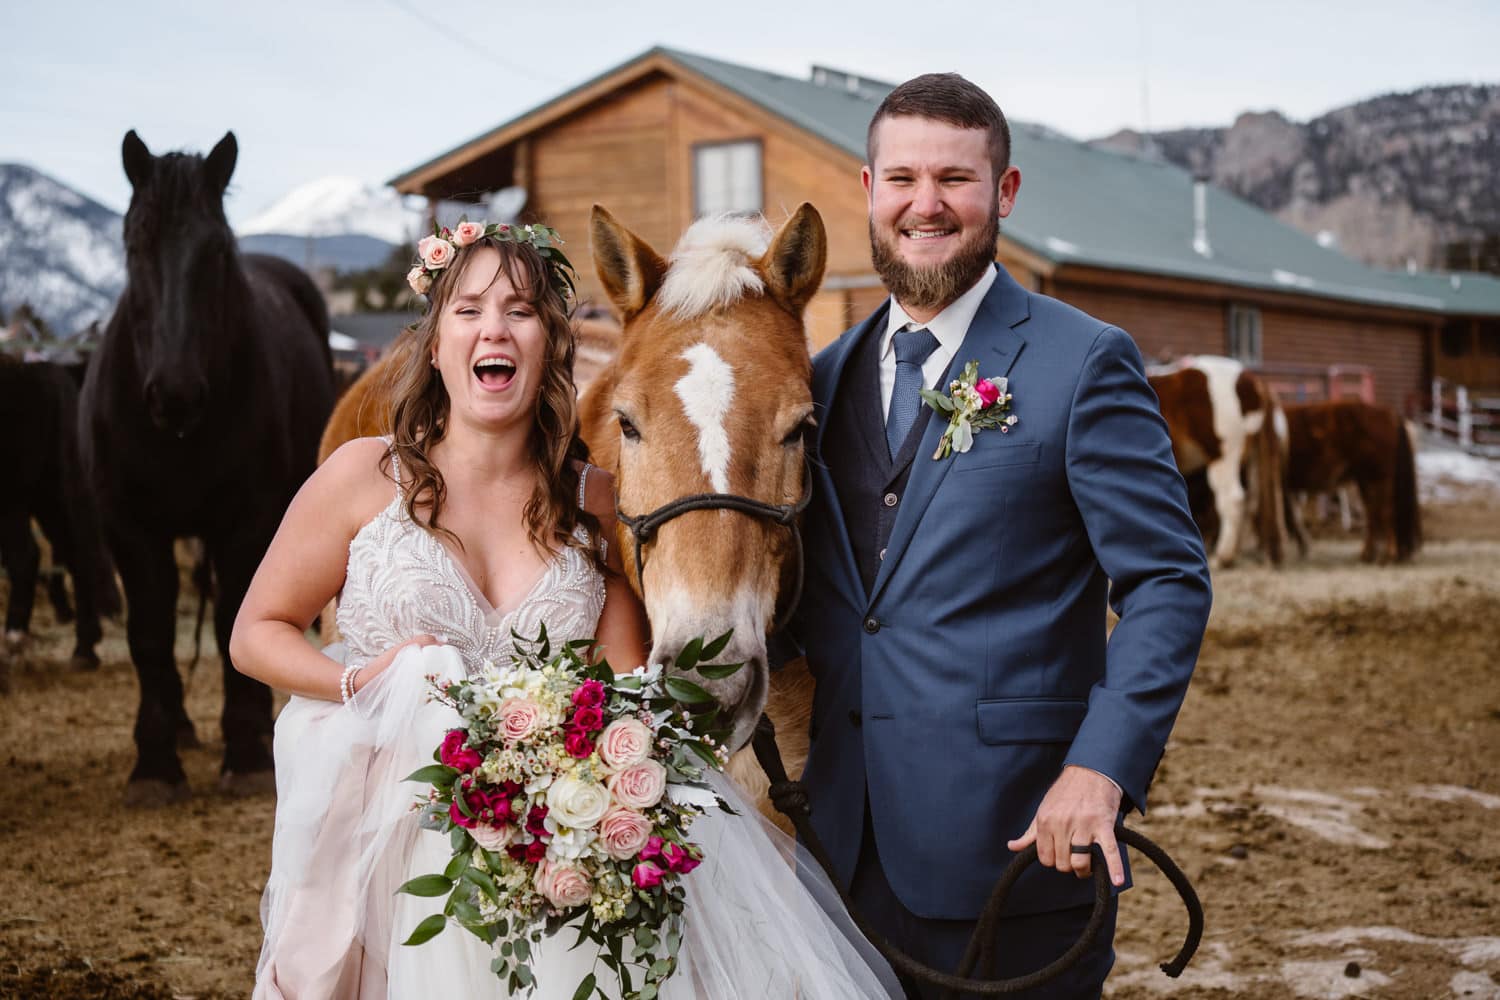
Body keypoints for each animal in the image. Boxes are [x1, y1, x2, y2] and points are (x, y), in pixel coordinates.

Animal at [0, 359, 112, 680]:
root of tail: (37, 369)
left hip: (15, 498)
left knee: (27, 557)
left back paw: (14, 643)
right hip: (48, 494)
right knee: (74, 554)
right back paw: (83, 648)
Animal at [80, 132, 336, 803]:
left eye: (217, 250)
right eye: (134, 244)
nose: (175, 393)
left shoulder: (247, 522)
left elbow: (229, 621)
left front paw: (244, 753)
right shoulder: (129, 528)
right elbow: (149, 631)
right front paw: (154, 763)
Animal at [1146, 355, 1290, 566]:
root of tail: (1255, 382)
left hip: (1224, 455)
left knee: (1232, 499)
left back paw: (1223, 556)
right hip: (1257, 458)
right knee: (1259, 500)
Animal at [1284, 401, 1422, 566]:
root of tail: (1390, 415)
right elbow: (1294, 516)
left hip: (1379, 479)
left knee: (1386, 512)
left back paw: (1388, 555)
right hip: (1366, 480)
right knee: (1372, 512)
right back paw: (1368, 555)